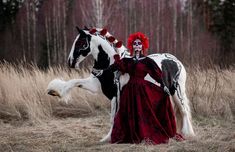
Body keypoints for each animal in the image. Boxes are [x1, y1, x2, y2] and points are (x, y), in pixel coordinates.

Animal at [47, 26, 195, 142]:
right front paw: (54, 91)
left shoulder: (116, 93)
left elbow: (114, 117)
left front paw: (111, 138)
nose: (70, 62)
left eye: (81, 42)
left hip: (177, 91)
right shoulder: (97, 86)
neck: (111, 64)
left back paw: (187, 134)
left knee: (184, 111)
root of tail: (176, 61)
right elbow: (74, 82)